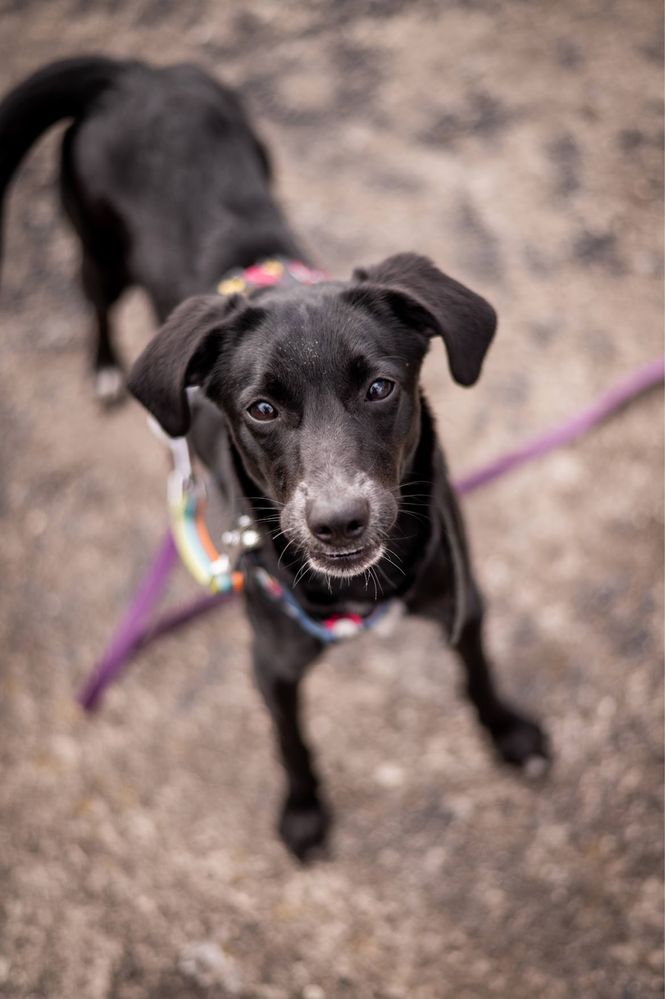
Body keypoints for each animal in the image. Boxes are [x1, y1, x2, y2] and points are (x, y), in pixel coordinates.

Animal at [1, 54, 548, 860]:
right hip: (96, 242)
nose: (339, 522)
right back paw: (102, 368)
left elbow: (477, 674)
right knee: (94, 297)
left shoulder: (461, 597)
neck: (362, 592)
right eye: (262, 409)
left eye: (380, 387)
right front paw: (303, 811)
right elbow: (292, 743)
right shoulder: (273, 663)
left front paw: (507, 733)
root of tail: (132, 75)